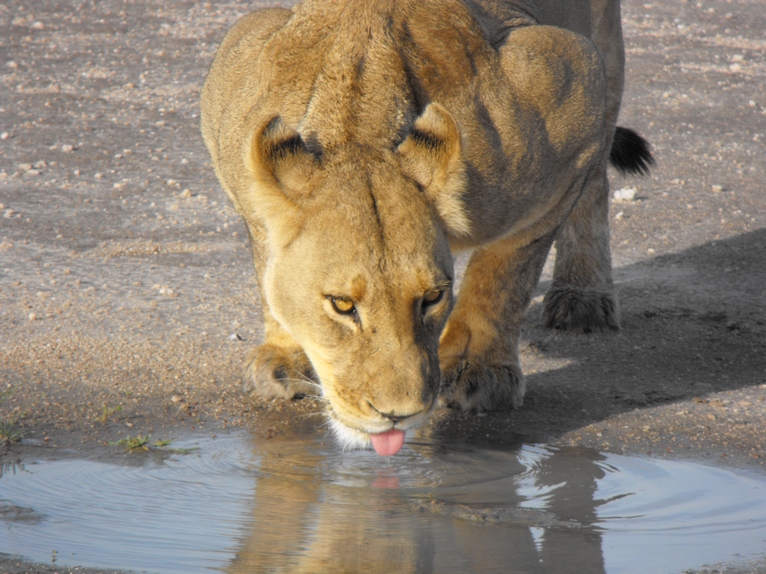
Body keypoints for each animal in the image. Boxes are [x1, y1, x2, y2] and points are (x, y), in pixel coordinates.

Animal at [200, 0, 652, 456]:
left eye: (433, 298)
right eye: (342, 305)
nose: (397, 415)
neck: (359, 125)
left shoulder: (569, 81)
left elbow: (505, 275)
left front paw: (479, 369)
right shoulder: (242, 64)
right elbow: (267, 261)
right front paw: (286, 356)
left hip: (602, 54)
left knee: (597, 179)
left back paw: (583, 297)